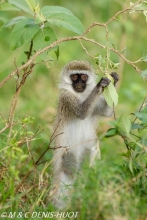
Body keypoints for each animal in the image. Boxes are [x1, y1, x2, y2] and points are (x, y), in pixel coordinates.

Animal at [51, 59, 119, 208]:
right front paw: (101, 84)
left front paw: (114, 79)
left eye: (83, 77)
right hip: (67, 153)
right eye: (74, 77)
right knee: (68, 174)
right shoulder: (66, 97)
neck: (79, 95)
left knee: (87, 172)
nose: (78, 84)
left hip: (86, 151)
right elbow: (82, 113)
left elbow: (107, 112)